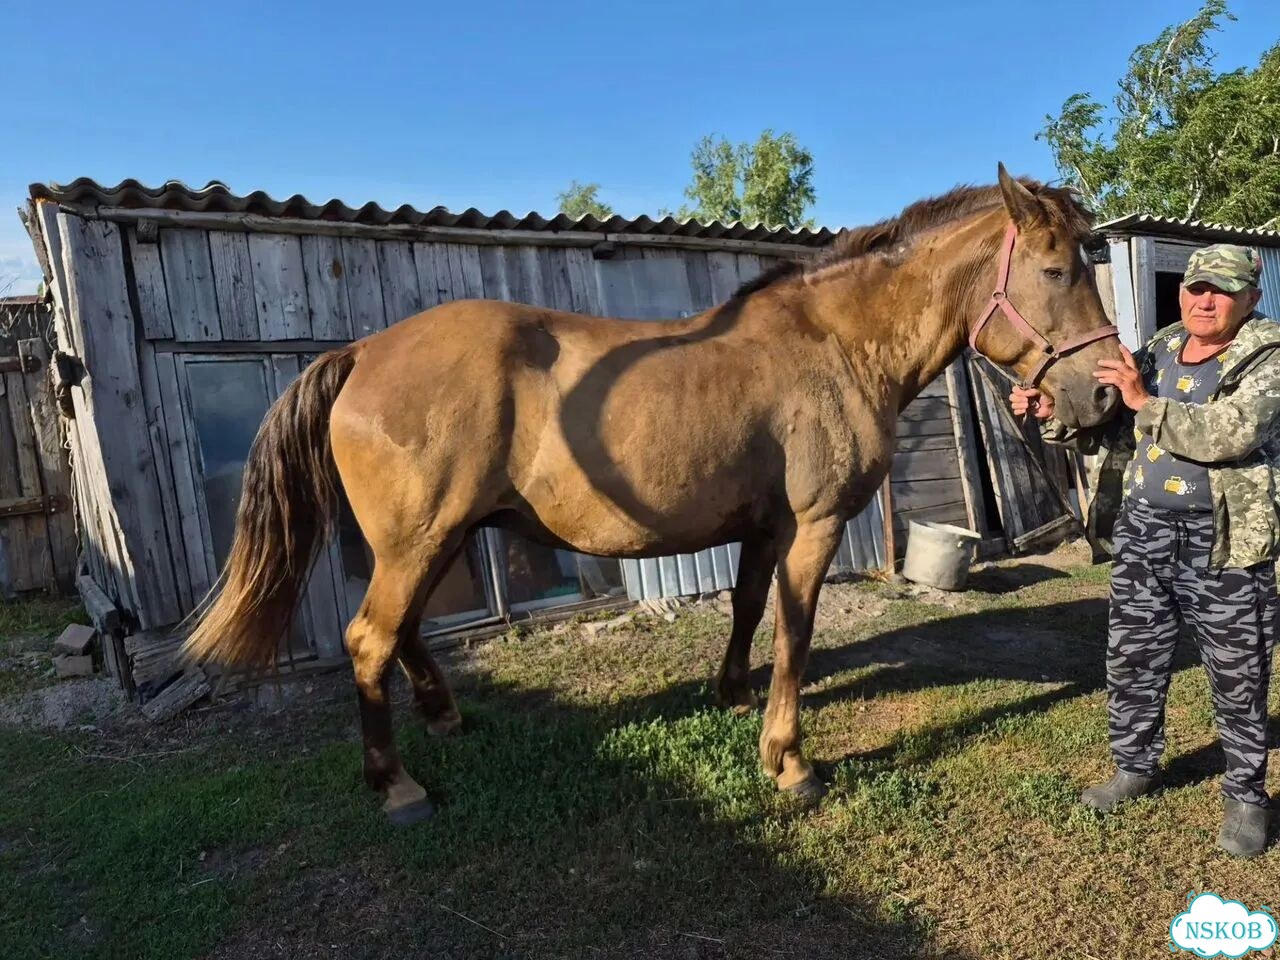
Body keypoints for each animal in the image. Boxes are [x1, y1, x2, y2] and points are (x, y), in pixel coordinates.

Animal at [185, 164, 1122, 825]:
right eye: (1053, 270)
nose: (1106, 395)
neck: (834, 344)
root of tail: (363, 352)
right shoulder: (813, 526)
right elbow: (795, 632)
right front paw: (788, 761)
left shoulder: (764, 527)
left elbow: (749, 608)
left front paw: (733, 695)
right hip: (418, 541)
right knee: (370, 640)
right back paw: (395, 784)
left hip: (434, 539)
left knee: (402, 632)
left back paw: (445, 717)